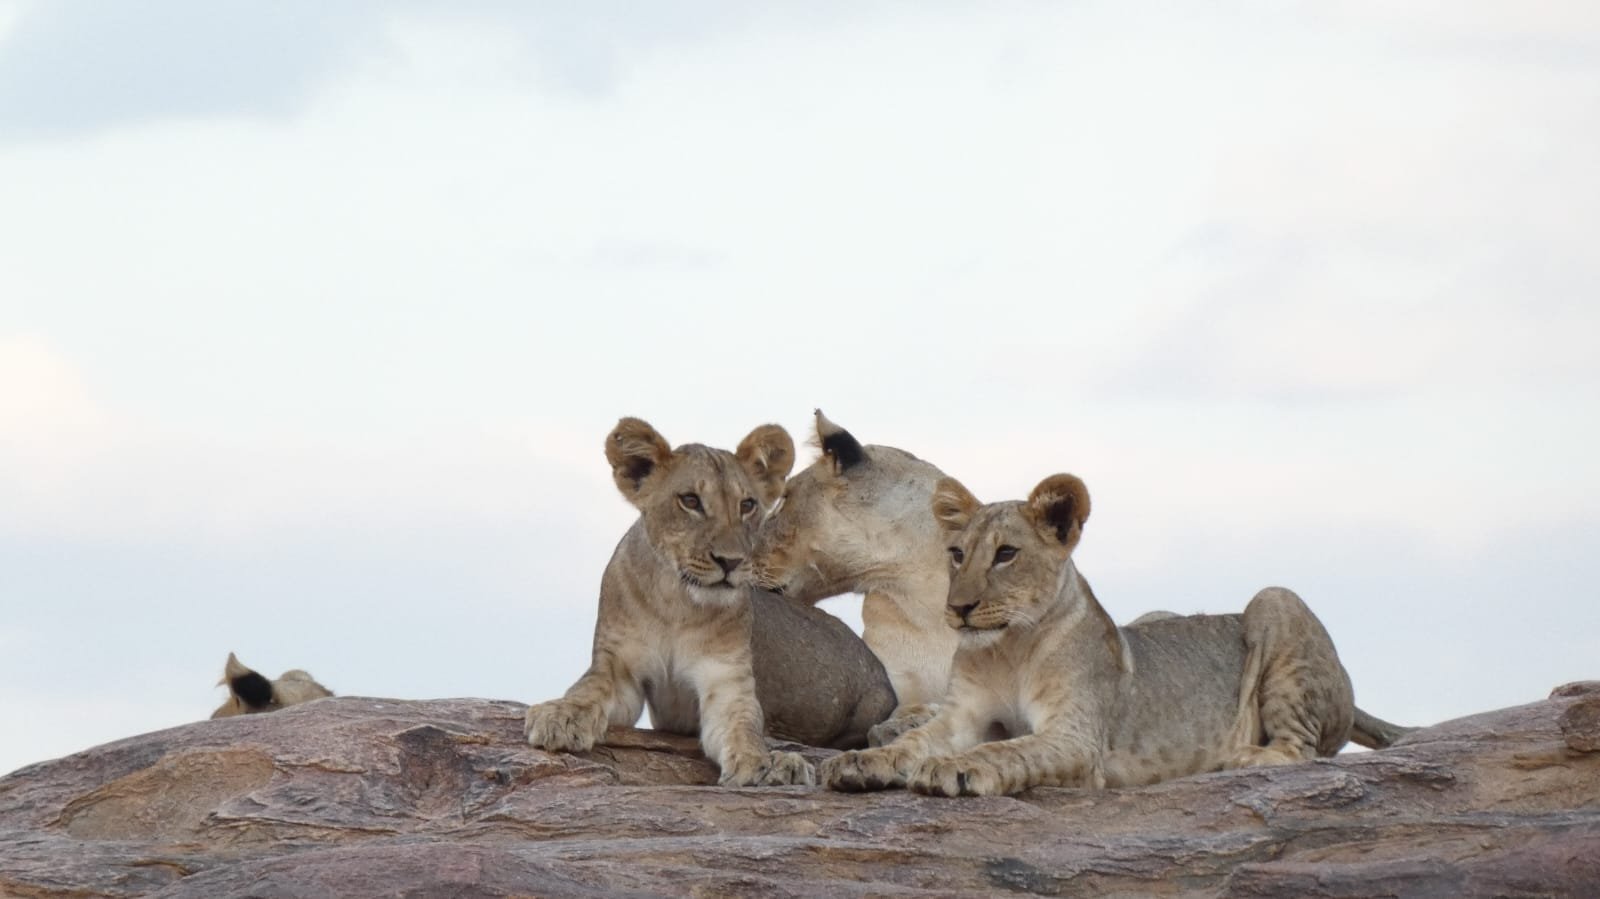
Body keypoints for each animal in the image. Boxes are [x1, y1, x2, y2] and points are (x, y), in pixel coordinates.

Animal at [523, 418, 896, 786]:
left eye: (747, 505)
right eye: (690, 500)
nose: (730, 562)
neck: (676, 604)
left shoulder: (726, 680)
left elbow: (743, 728)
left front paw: (766, 764)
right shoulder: (619, 668)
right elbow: (589, 689)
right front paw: (561, 717)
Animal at [821, 473, 1378, 797]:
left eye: (1006, 554)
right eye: (957, 554)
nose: (958, 609)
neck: (1009, 650)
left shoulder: (1077, 738)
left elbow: (1003, 751)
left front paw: (951, 770)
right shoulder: (962, 716)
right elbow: (913, 741)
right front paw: (862, 761)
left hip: (1274, 599)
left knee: (1302, 749)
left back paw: (1238, 759)